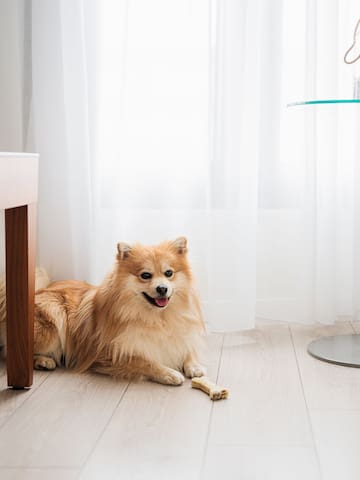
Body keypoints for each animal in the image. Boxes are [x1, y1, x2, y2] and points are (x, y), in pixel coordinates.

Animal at [0, 237, 205, 386]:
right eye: (146, 275)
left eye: (169, 273)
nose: (162, 288)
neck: (157, 317)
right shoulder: (109, 354)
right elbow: (145, 361)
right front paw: (170, 373)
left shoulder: (181, 335)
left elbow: (189, 349)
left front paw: (194, 366)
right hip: (53, 320)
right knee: (11, 352)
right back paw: (43, 361)